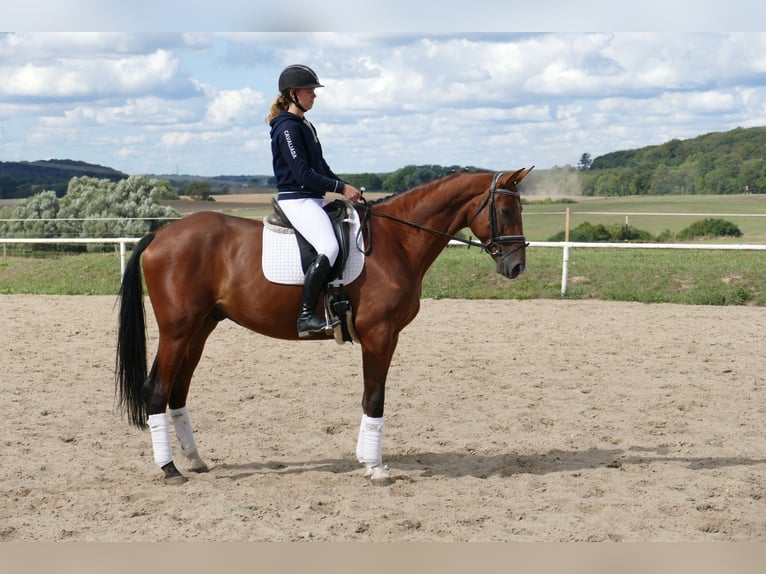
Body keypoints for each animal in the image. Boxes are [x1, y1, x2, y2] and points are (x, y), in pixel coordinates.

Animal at [115, 167, 532, 485]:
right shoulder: (380, 335)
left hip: (200, 330)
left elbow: (370, 397)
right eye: (505, 208)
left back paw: (195, 460)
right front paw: (376, 467)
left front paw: (366, 459)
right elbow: (374, 397)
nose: (516, 267)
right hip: (178, 331)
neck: (396, 242)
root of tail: (160, 234)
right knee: (156, 389)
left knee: (177, 391)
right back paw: (170, 469)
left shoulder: (383, 337)